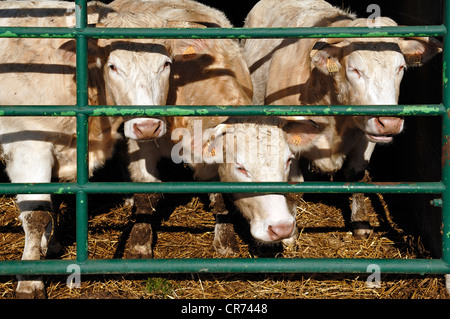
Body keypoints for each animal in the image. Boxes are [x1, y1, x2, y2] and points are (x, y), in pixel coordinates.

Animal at [0, 0, 205, 300]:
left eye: (166, 64)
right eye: (113, 66)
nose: (147, 126)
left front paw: (51, 244)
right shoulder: (28, 148)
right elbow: (36, 215)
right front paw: (30, 281)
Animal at [243, 0, 442, 239]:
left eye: (400, 68)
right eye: (354, 70)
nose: (390, 123)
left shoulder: (366, 136)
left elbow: (357, 175)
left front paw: (361, 222)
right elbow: (293, 185)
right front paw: (289, 233)